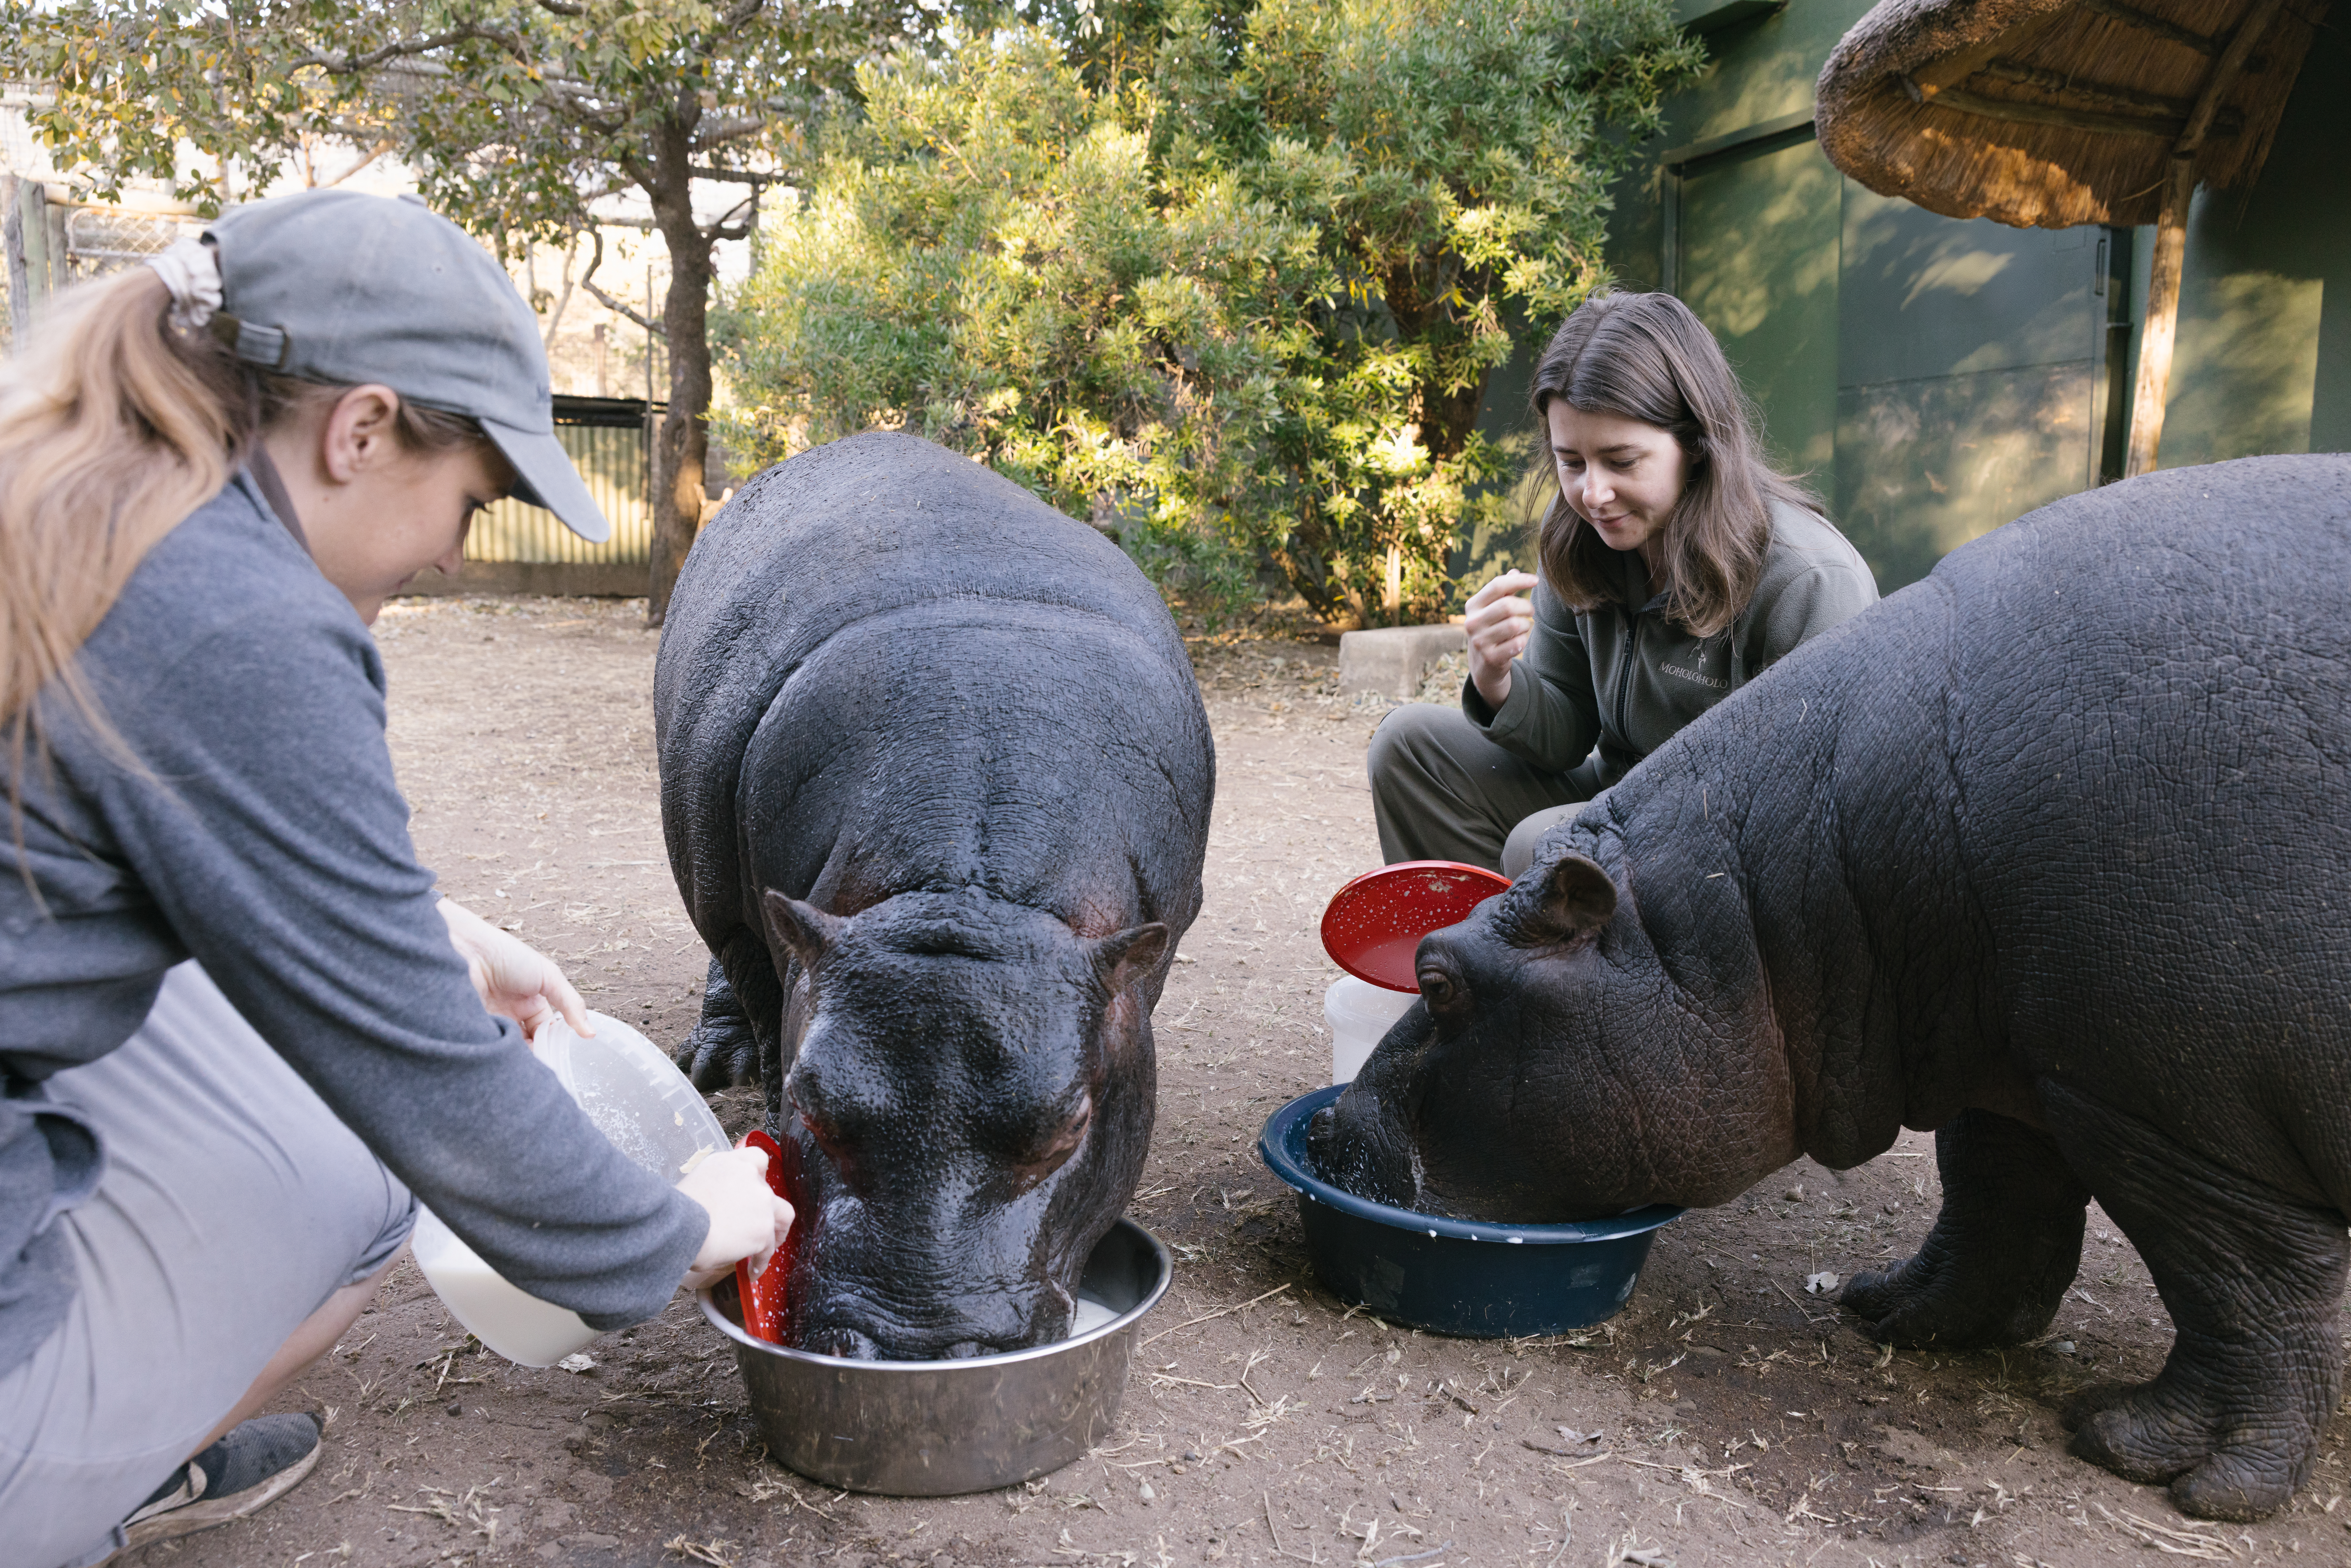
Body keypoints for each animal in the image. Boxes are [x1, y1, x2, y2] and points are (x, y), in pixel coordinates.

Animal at [655, 432, 1213, 1359]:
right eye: (811, 1099)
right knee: (727, 956)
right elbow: (766, 1006)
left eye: (1072, 1119)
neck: (965, 895)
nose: (912, 1345)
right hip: (713, 878)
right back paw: (709, 1062)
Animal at [1310, 455, 2351, 1520]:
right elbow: (1995, 1189)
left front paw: (2160, 1458)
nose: (1327, 1124)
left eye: (1437, 979)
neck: (1768, 894)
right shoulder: (2003, 1048)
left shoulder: (2173, 1119)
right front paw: (1895, 1309)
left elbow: (2236, 1280)